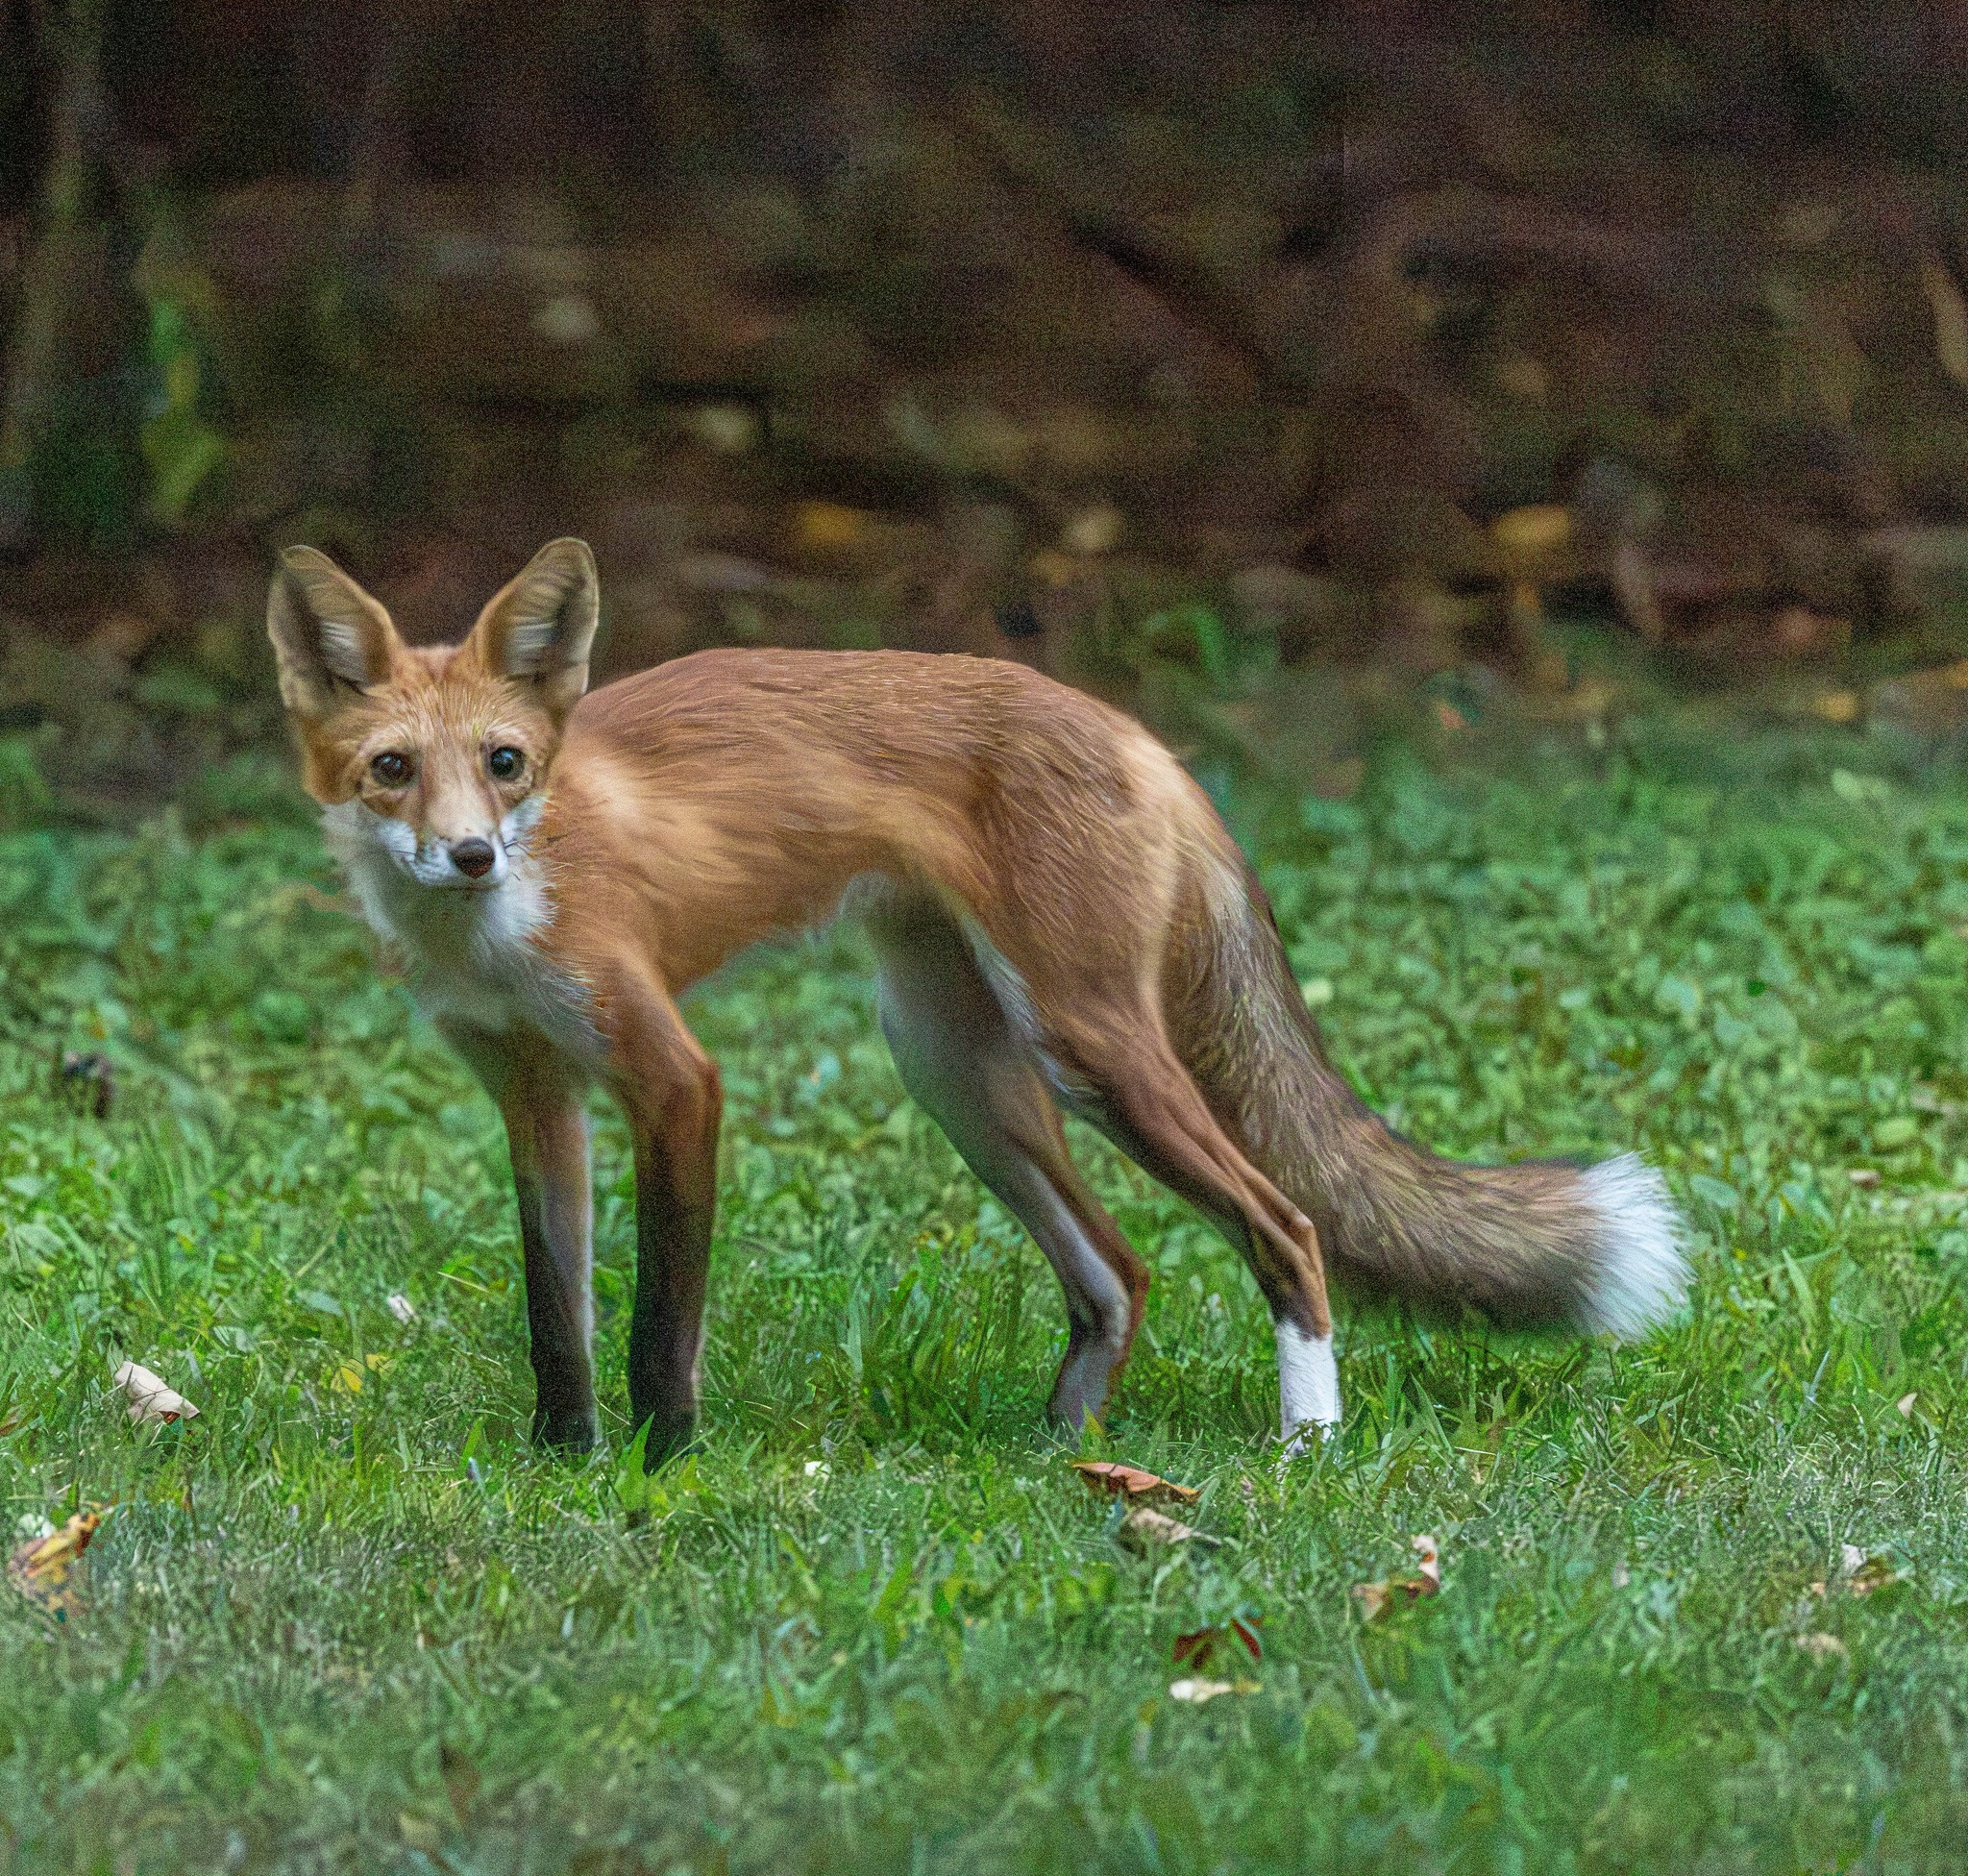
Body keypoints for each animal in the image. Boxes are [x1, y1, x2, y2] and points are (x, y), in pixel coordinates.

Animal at [268, 537, 1686, 1466]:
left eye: (505, 763)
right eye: (393, 771)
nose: (470, 855)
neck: (492, 935)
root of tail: (1132, 729)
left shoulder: (673, 1078)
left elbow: (661, 1321)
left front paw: (660, 1471)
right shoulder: (534, 1097)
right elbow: (552, 1317)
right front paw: (561, 1462)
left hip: (1087, 1051)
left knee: (1287, 1226)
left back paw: (1306, 1440)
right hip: (956, 1070)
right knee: (1118, 1273)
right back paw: (1065, 1454)